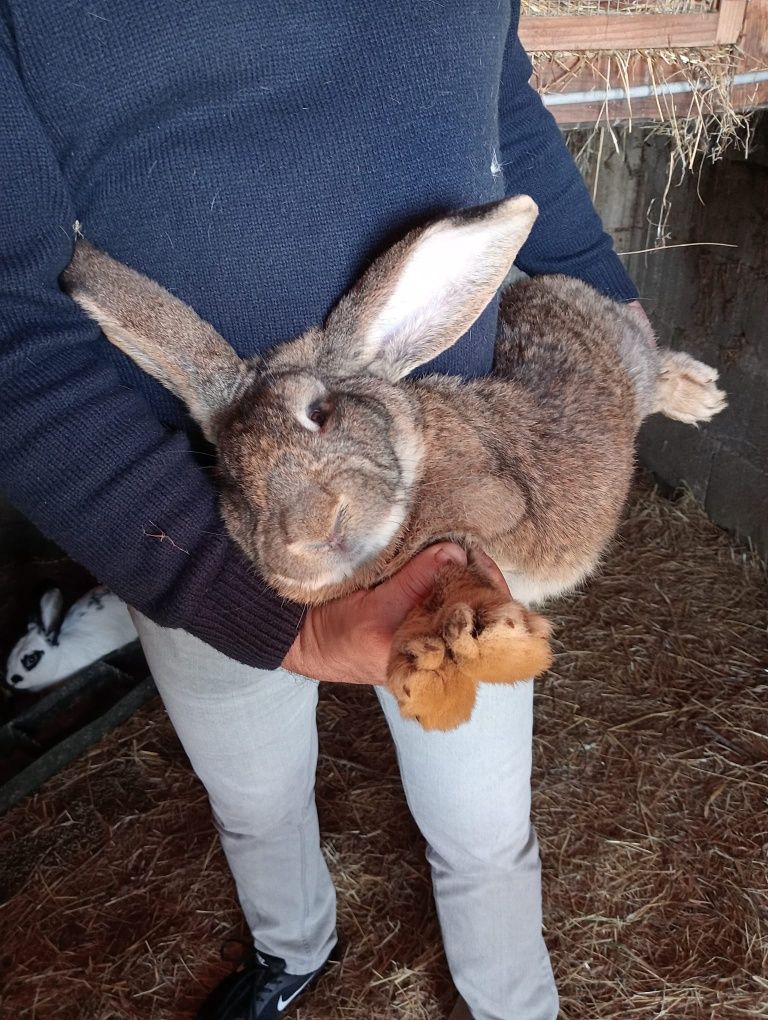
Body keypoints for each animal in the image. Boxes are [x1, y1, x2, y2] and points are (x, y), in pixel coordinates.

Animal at [61, 194, 726, 730]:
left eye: (320, 412)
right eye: (227, 478)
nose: (313, 529)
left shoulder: (490, 507)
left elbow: (457, 577)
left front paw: (481, 645)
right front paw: (435, 673)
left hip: (629, 358)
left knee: (655, 369)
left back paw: (700, 394)